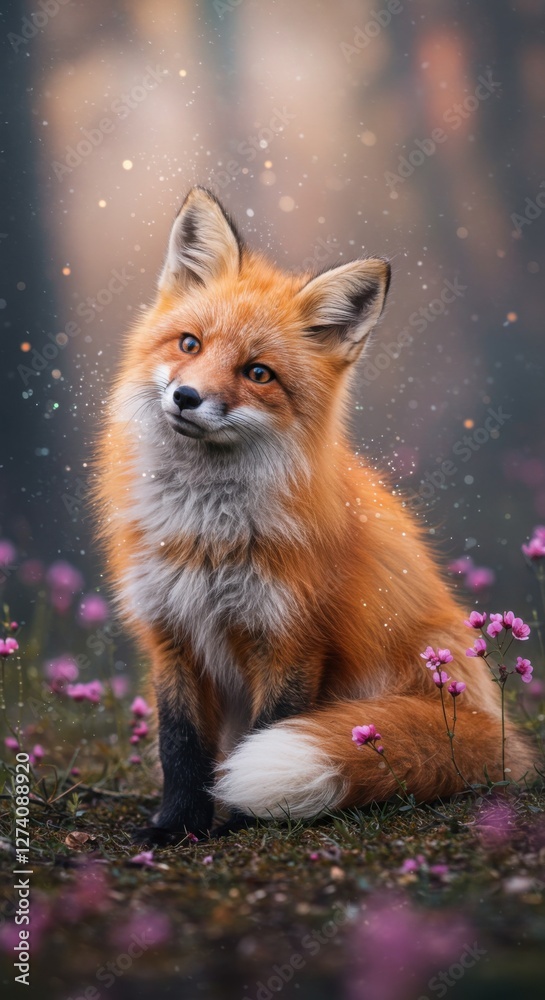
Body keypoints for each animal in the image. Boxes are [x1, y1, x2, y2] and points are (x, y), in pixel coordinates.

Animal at [96, 186, 534, 842]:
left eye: (258, 373)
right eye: (190, 344)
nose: (187, 397)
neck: (207, 532)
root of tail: (496, 729)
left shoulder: (292, 637)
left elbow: (266, 731)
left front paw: (244, 822)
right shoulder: (171, 632)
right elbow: (180, 745)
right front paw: (175, 826)